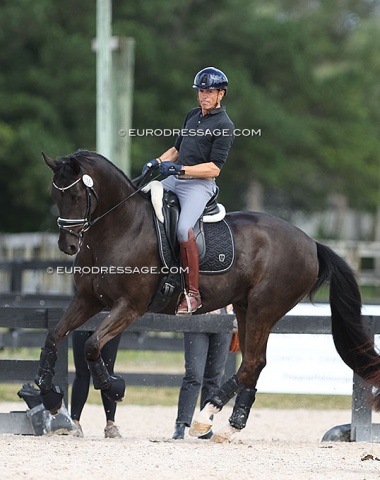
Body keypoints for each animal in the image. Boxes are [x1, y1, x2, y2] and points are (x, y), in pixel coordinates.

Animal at [36, 149, 380, 442]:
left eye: (77, 195)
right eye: (54, 195)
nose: (68, 245)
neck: (121, 227)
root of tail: (311, 243)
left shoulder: (130, 307)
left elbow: (93, 345)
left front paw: (114, 386)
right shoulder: (88, 300)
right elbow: (54, 336)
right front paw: (49, 396)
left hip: (263, 309)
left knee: (251, 363)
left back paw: (205, 418)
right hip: (245, 307)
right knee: (256, 363)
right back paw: (230, 428)